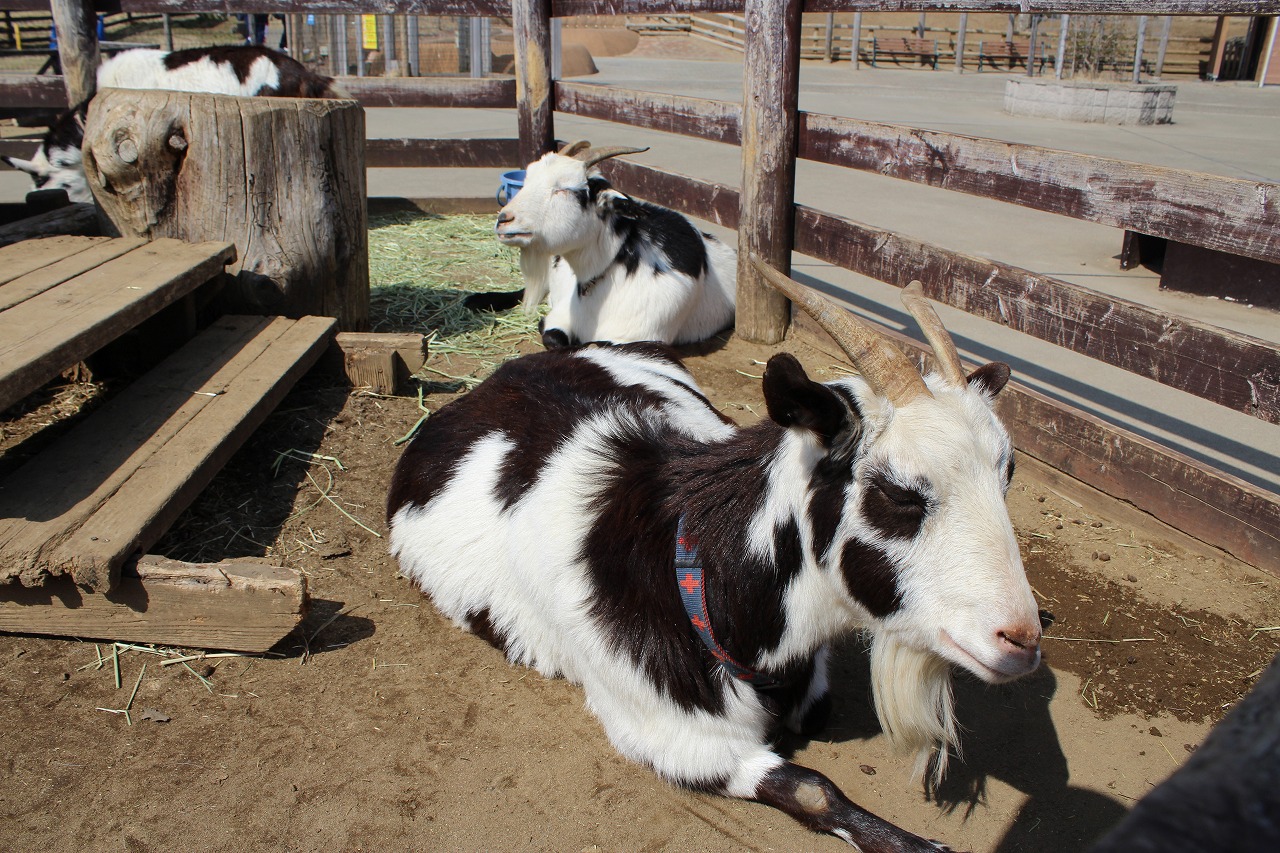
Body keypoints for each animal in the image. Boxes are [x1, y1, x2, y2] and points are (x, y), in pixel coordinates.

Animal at [386, 262, 1039, 845]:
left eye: (1007, 474)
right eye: (900, 492)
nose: (1022, 640)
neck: (704, 582)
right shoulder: (676, 739)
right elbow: (814, 789)